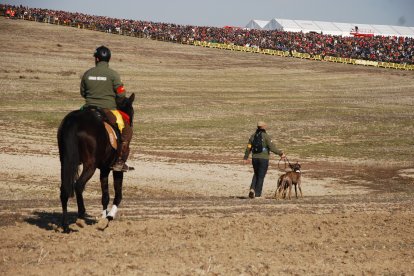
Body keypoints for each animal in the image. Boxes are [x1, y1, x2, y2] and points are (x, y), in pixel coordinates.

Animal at [55, 93, 134, 233]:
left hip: (65, 162)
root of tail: (74, 121)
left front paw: (103, 218)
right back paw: (80, 217)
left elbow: (105, 196)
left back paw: (65, 225)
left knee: (64, 188)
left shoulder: (104, 169)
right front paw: (108, 218)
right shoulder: (115, 169)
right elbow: (117, 195)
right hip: (90, 166)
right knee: (78, 185)